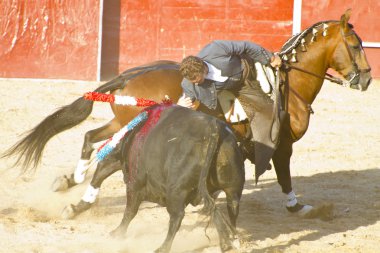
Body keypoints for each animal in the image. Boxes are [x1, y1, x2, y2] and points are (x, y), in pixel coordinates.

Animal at [2, 9, 372, 219]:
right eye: (355, 45)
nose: (367, 78)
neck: (289, 82)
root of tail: (130, 75)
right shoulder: (282, 146)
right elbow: (285, 177)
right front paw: (301, 207)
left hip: (120, 120)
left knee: (91, 137)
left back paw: (70, 181)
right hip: (130, 128)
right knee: (102, 152)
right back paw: (78, 196)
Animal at [107, 104, 243, 252]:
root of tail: (214, 129)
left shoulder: (135, 185)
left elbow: (130, 210)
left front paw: (117, 233)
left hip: (175, 191)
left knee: (177, 216)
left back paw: (163, 247)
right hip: (232, 189)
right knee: (230, 208)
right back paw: (228, 242)